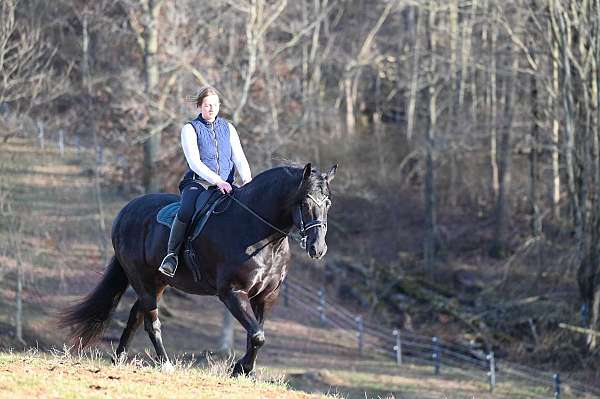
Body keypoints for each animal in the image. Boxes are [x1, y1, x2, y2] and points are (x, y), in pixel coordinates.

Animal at [60, 163, 338, 378]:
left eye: (327, 203)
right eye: (305, 203)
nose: (318, 248)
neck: (259, 233)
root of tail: (125, 213)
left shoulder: (266, 296)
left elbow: (255, 334)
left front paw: (245, 371)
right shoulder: (233, 293)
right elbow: (258, 335)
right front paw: (240, 369)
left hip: (157, 283)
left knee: (136, 316)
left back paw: (119, 359)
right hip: (142, 280)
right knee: (151, 322)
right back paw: (165, 364)